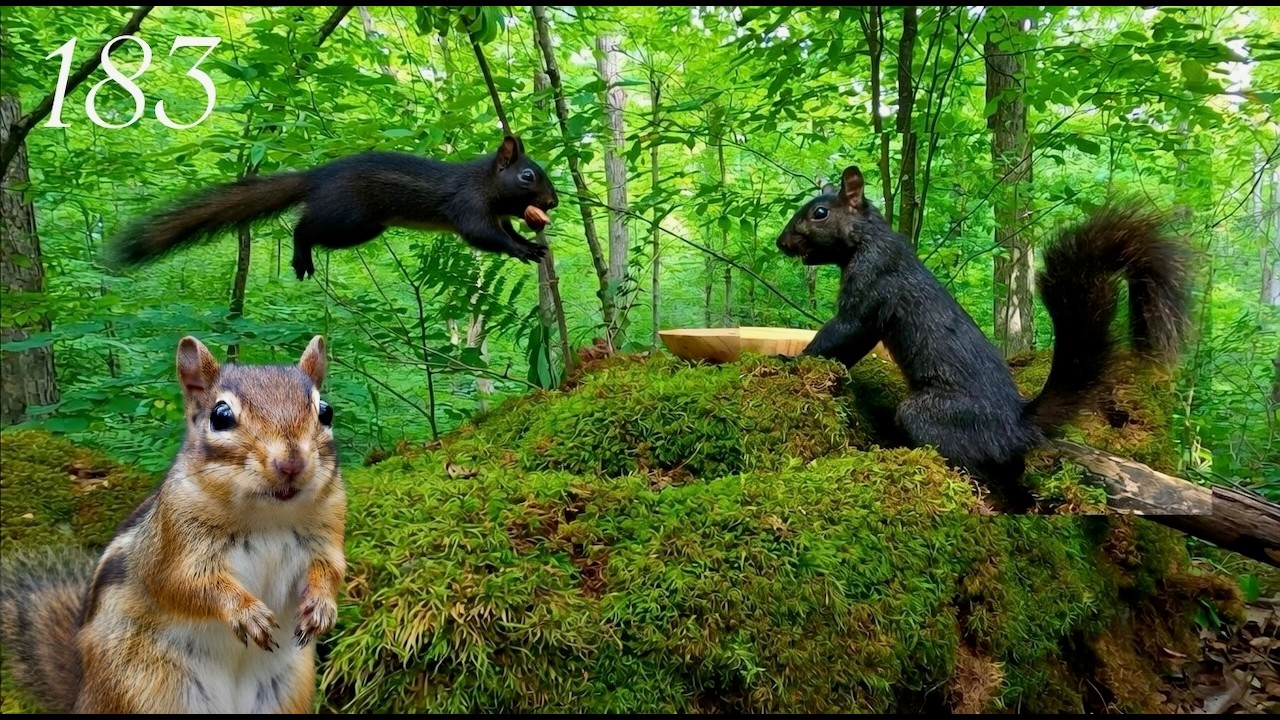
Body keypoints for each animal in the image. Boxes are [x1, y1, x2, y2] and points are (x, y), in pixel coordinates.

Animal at [0, 335, 347, 713]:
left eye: (326, 411)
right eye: (221, 416)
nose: (291, 462)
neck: (269, 518)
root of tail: (84, 694)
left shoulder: (328, 533)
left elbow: (331, 571)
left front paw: (322, 607)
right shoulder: (174, 543)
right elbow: (185, 583)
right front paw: (247, 613)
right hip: (147, 686)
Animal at [104, 134, 560, 281]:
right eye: (528, 175)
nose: (553, 201)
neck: (485, 183)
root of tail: (316, 177)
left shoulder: (497, 214)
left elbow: (504, 231)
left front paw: (529, 245)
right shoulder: (467, 205)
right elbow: (483, 237)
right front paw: (522, 249)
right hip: (349, 220)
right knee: (303, 227)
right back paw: (301, 256)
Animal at [776, 165, 1191, 511]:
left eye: (819, 213)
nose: (782, 242)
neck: (868, 238)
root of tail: (1017, 428)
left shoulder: (872, 285)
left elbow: (844, 334)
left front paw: (792, 360)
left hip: (937, 417)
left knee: (976, 472)